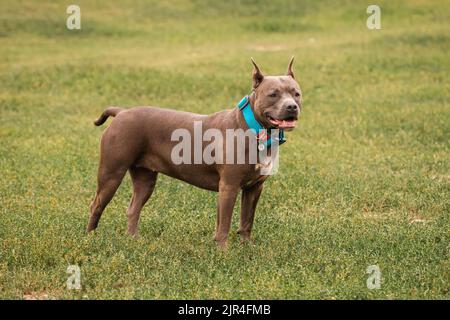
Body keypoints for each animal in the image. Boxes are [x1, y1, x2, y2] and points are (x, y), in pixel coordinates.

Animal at [87, 57, 302, 248]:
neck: (253, 128)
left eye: (297, 93)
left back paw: (133, 240)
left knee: (133, 208)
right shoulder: (229, 186)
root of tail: (121, 112)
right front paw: (224, 254)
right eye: (273, 94)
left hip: (145, 179)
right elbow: (224, 225)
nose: (292, 106)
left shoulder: (254, 188)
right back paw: (91, 239)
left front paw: (247, 248)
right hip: (111, 173)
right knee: (96, 205)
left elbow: (246, 221)